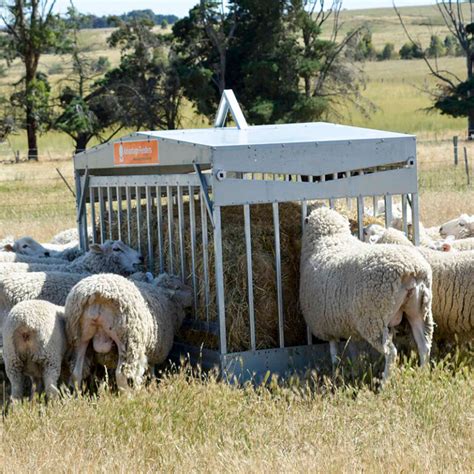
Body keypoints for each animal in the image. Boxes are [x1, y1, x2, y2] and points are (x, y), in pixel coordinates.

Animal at [65, 274, 193, 388]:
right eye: (178, 287)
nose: (191, 293)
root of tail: (96, 294)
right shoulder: (154, 350)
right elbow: (150, 368)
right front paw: (151, 383)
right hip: (127, 339)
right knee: (122, 374)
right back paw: (131, 396)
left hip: (78, 336)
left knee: (77, 372)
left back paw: (78, 395)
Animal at [300, 209, 434, 380]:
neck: (330, 240)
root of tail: (411, 270)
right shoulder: (348, 322)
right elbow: (352, 347)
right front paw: (354, 367)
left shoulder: (325, 324)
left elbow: (333, 350)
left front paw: (335, 370)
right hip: (419, 310)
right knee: (424, 345)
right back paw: (423, 374)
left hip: (374, 319)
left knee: (391, 352)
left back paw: (385, 381)